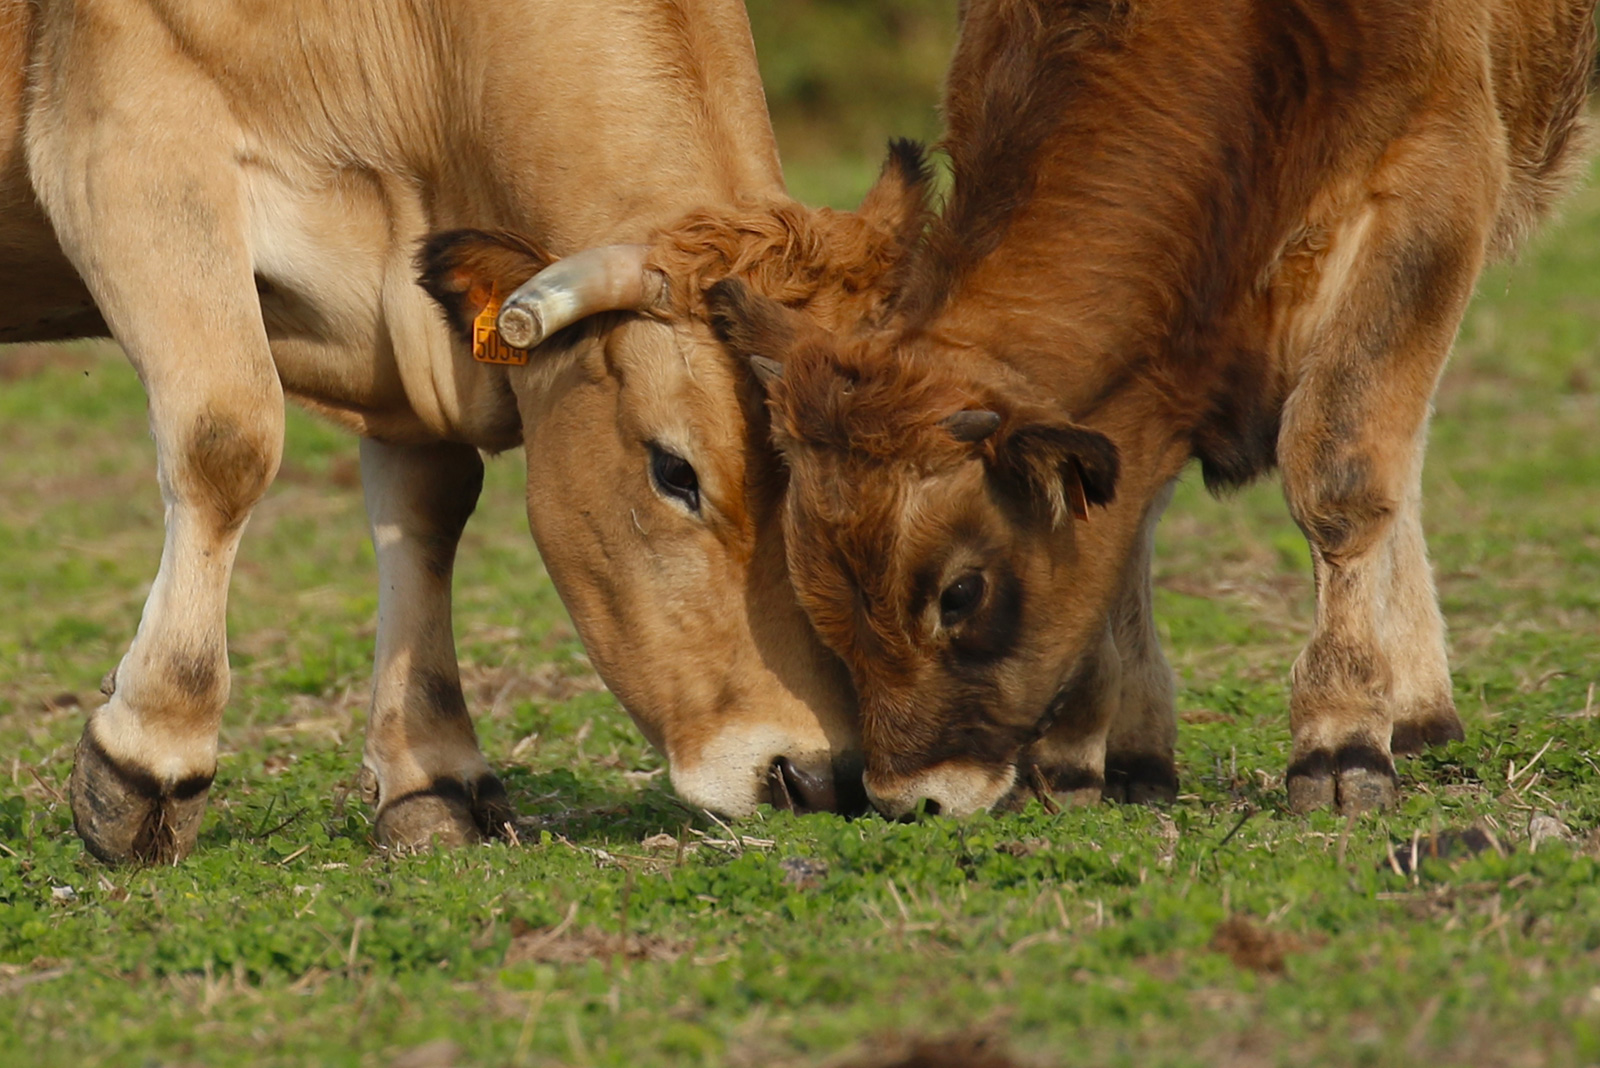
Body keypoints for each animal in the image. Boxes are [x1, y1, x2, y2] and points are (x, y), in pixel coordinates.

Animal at [0, 0, 883, 863]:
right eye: (675, 472)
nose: (813, 775)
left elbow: (429, 505)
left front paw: (430, 773)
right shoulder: (126, 147)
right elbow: (229, 437)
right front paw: (151, 754)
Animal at [700, 0, 1600, 818]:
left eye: (962, 593)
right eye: (815, 590)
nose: (904, 798)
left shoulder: (1432, 179)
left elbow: (1341, 473)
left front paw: (1340, 737)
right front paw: (1109, 752)